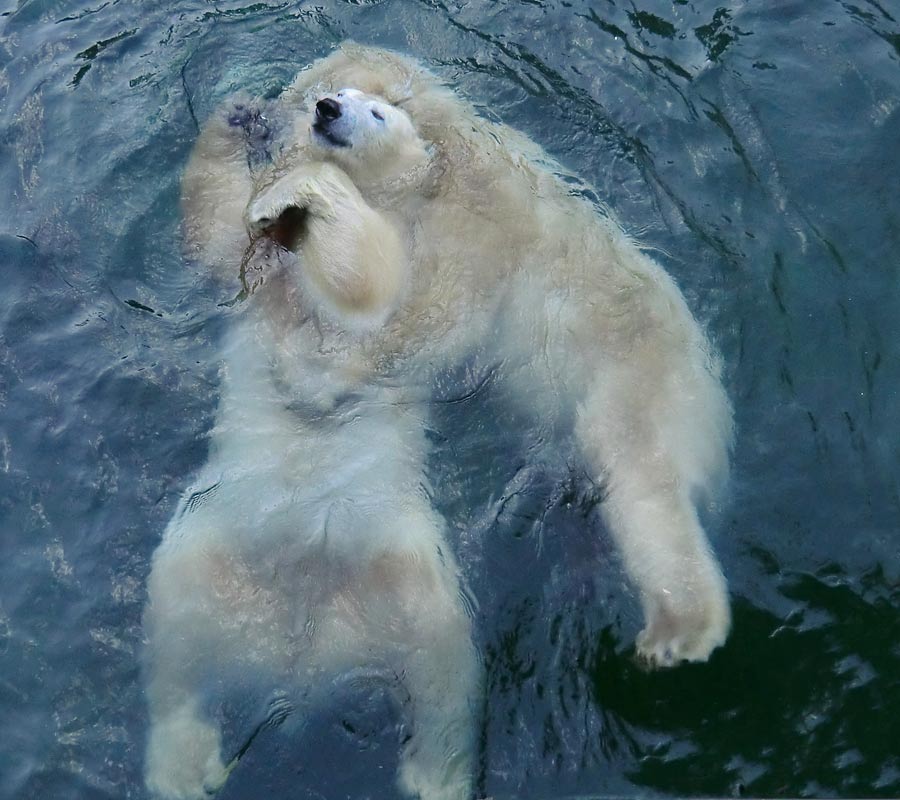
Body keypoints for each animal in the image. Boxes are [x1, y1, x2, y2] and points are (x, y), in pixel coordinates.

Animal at [141, 42, 732, 800]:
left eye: (368, 108)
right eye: (321, 95)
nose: (323, 110)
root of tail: (305, 649)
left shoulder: (453, 237)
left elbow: (380, 305)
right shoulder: (270, 268)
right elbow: (220, 249)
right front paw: (236, 119)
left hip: (608, 401)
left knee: (458, 652)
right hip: (202, 556)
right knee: (177, 656)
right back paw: (184, 766)